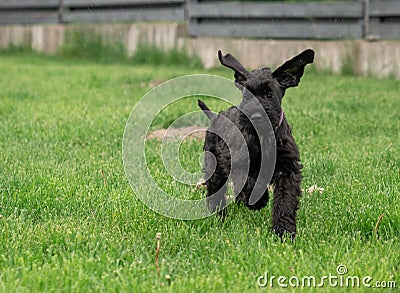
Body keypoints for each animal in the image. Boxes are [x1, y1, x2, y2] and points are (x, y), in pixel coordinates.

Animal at [198, 49, 314, 237]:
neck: (263, 136)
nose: (256, 117)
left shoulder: (288, 168)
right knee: (215, 191)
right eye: (246, 96)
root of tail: (216, 117)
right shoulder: (238, 161)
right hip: (214, 167)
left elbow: (285, 200)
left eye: (269, 94)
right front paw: (258, 200)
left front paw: (284, 231)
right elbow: (250, 182)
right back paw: (219, 216)